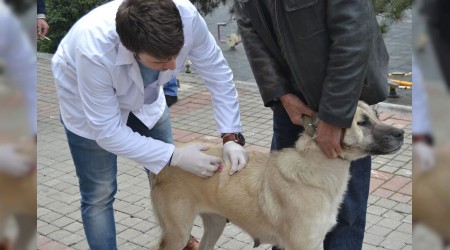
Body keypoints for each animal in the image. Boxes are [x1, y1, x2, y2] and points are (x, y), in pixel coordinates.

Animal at [150, 100, 404, 249]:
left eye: (377, 115)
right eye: (362, 123)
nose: (401, 134)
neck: (317, 167)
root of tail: (166, 162)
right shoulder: (301, 245)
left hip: (215, 224)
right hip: (178, 233)